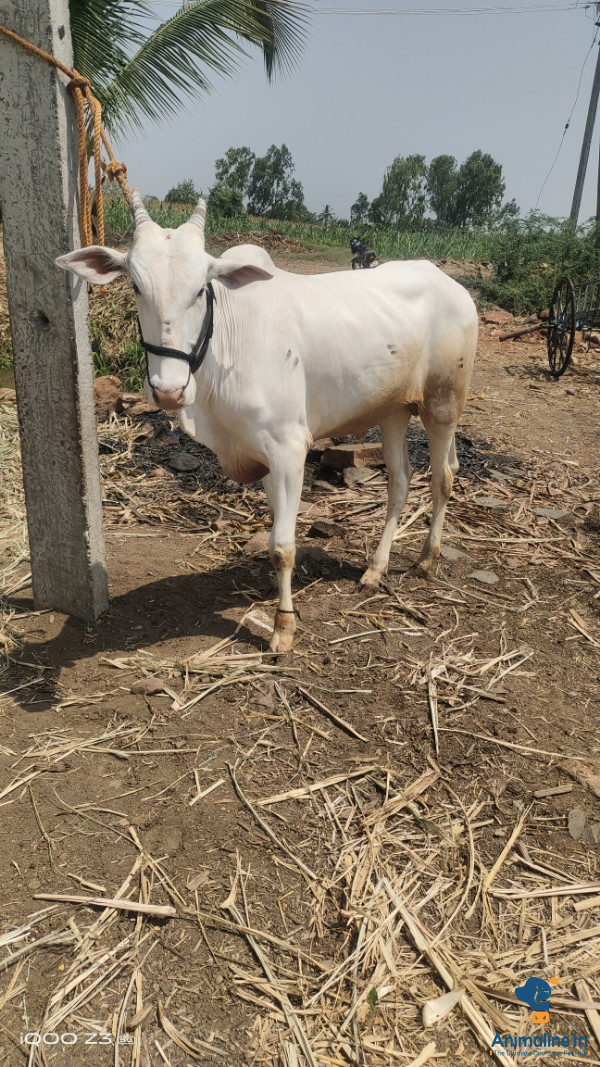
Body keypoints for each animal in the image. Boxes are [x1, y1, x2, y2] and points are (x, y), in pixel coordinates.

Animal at [56, 191, 478, 654]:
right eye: (134, 285)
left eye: (201, 289)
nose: (168, 390)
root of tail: (450, 283)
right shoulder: (259, 454)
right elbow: (276, 528)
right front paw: (275, 595)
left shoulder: (289, 448)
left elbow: (283, 545)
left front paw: (284, 624)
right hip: (393, 411)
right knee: (400, 482)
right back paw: (374, 569)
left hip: (443, 403)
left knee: (443, 477)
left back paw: (425, 558)